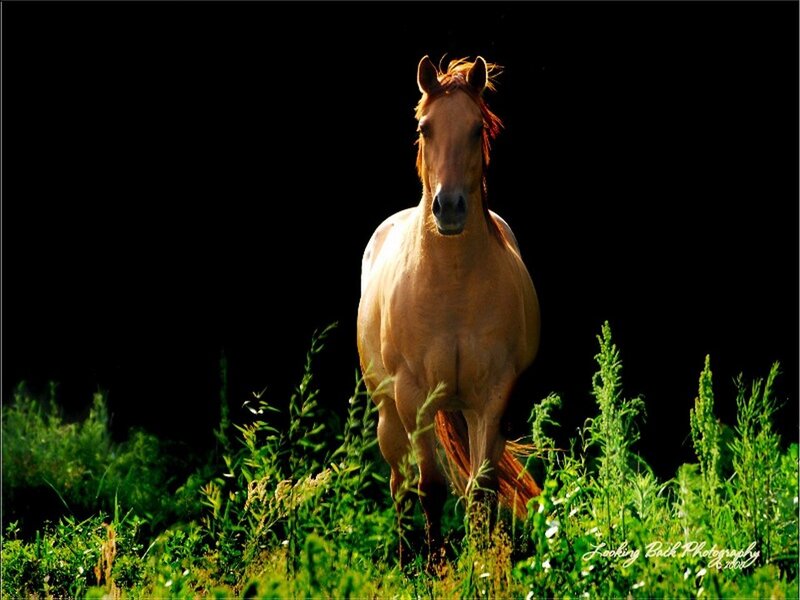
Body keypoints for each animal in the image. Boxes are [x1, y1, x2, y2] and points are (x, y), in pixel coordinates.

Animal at [356, 56, 541, 565]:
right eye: (425, 128)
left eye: (477, 129)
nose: (450, 207)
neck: (453, 288)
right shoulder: (413, 396)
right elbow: (431, 489)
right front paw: (436, 567)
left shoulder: (492, 398)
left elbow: (480, 490)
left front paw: (483, 564)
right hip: (389, 415)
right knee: (401, 485)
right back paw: (406, 560)